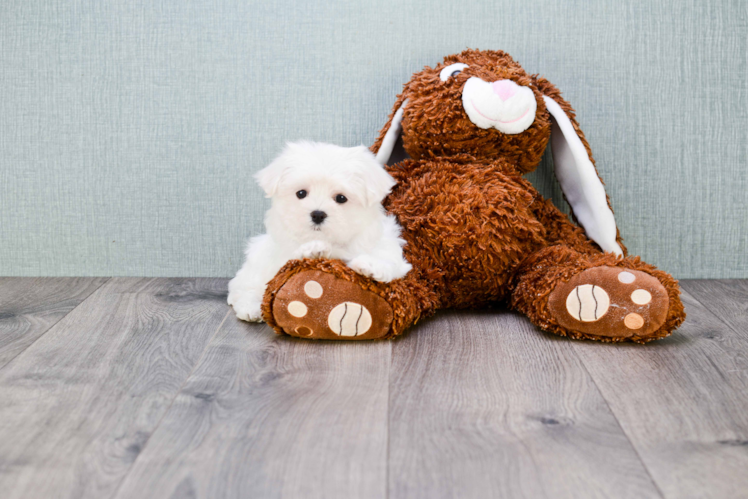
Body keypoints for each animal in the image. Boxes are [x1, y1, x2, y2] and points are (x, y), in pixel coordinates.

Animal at [229, 141, 412, 322]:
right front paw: (313, 249)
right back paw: (250, 307)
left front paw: (371, 265)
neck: (332, 241)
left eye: (341, 198)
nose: (317, 214)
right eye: (301, 193)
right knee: (245, 285)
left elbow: (391, 262)